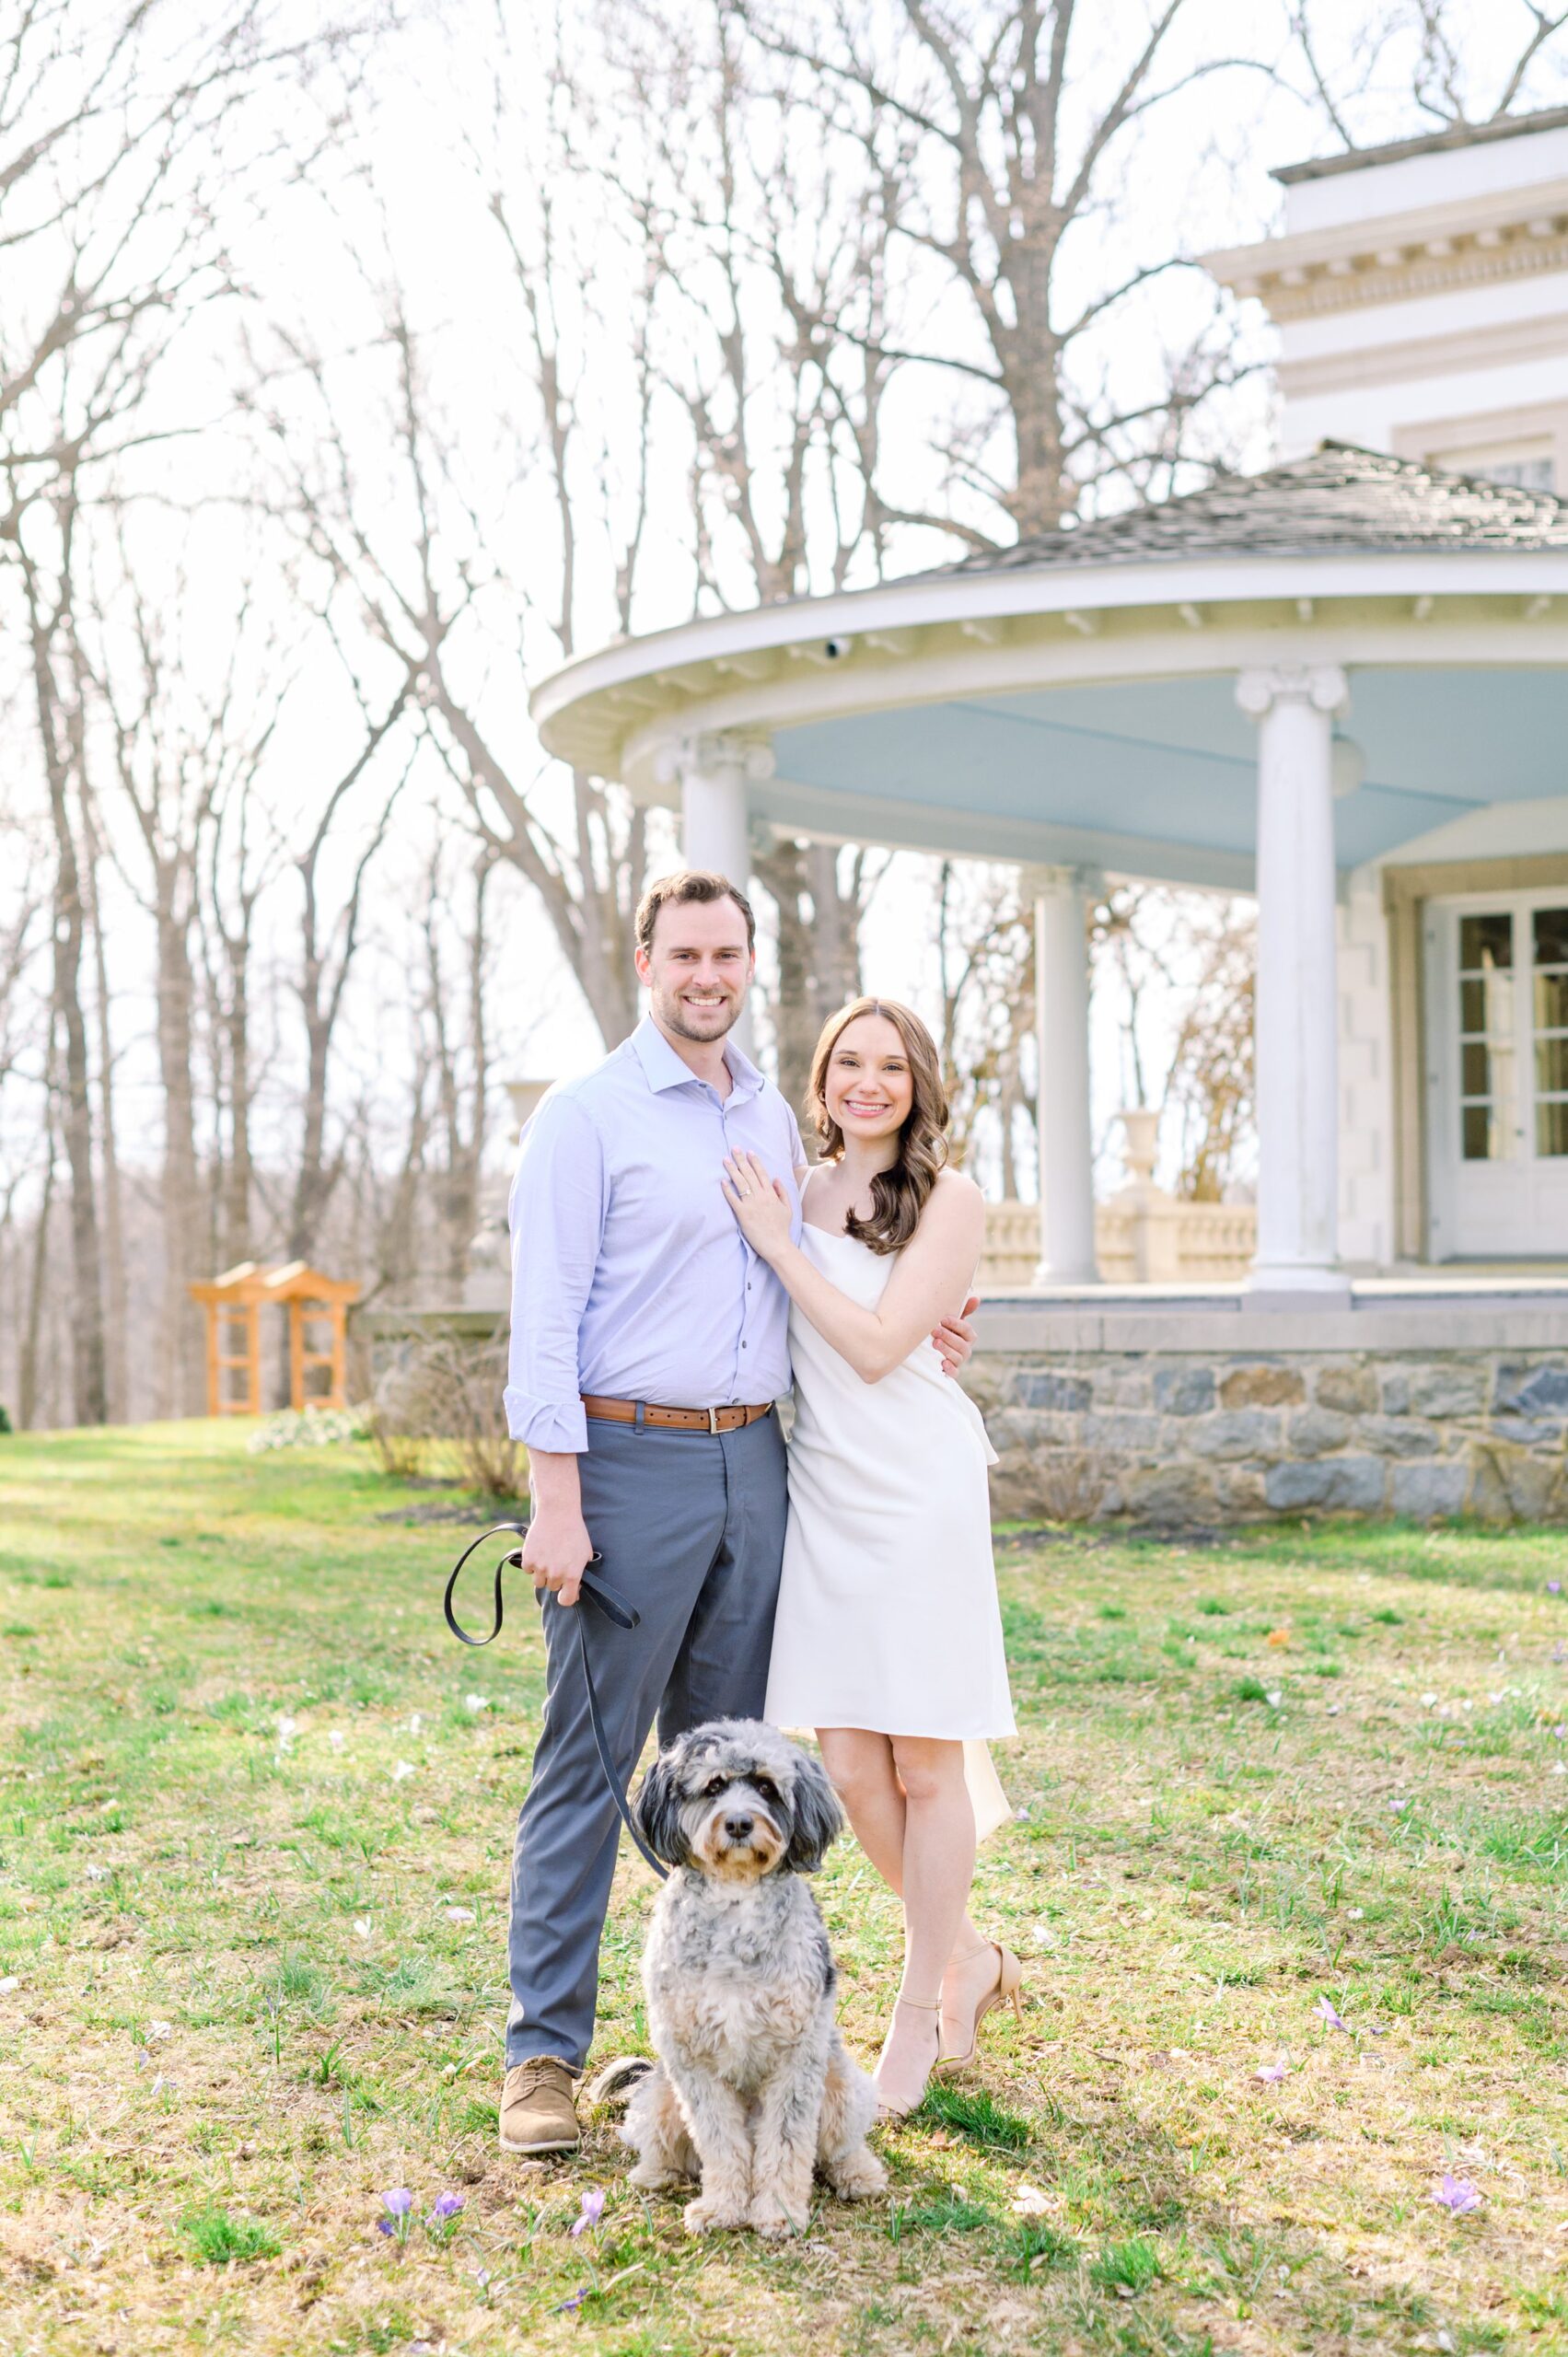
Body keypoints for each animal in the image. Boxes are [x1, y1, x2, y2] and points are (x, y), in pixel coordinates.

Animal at [585, 1724, 886, 2234]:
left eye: (766, 1787)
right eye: (714, 1786)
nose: (740, 1824)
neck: (736, 1902)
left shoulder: (796, 2058)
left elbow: (787, 2144)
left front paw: (778, 2212)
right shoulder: (692, 2061)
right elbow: (720, 2143)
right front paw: (723, 2207)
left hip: (841, 2085)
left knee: (837, 2146)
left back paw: (859, 2174)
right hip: (660, 2099)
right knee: (674, 2149)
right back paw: (655, 2173)